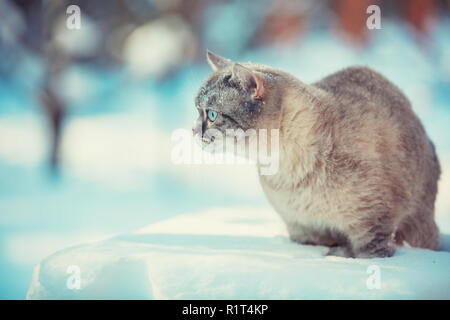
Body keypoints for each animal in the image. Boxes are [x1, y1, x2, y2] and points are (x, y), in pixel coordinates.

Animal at [193, 50, 440, 258]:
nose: (193, 130)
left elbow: (369, 254)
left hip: (419, 230)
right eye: (197, 111)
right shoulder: (302, 231)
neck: (286, 170)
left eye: (212, 115)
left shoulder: (374, 229)